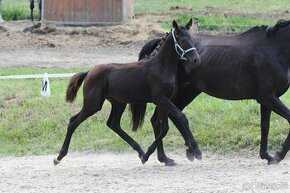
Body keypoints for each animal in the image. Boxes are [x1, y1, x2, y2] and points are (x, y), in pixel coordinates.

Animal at [53, 19, 201, 166]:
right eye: (182, 40)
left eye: (192, 39)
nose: (196, 59)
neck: (161, 67)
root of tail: (89, 72)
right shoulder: (161, 99)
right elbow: (181, 117)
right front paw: (196, 151)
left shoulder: (165, 101)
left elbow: (164, 127)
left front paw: (153, 156)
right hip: (93, 104)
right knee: (73, 121)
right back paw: (59, 157)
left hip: (118, 103)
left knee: (113, 124)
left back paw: (140, 152)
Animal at [137, 19, 290, 164]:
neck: (274, 49)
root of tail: (160, 44)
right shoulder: (268, 97)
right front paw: (279, 155)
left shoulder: (267, 99)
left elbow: (265, 127)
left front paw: (267, 156)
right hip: (172, 95)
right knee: (161, 120)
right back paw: (168, 156)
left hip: (186, 93)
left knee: (168, 118)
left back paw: (184, 153)